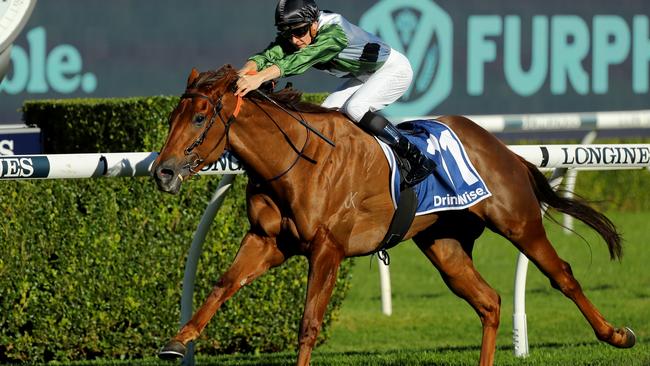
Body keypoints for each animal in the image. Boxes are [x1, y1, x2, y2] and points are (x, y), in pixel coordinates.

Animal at [152, 64, 632, 364]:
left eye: (199, 118)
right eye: (172, 115)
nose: (163, 171)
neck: (296, 161)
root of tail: (501, 147)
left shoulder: (327, 248)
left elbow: (309, 323)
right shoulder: (268, 241)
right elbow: (223, 285)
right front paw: (177, 341)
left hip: (517, 221)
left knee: (562, 275)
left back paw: (616, 334)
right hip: (444, 245)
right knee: (489, 301)